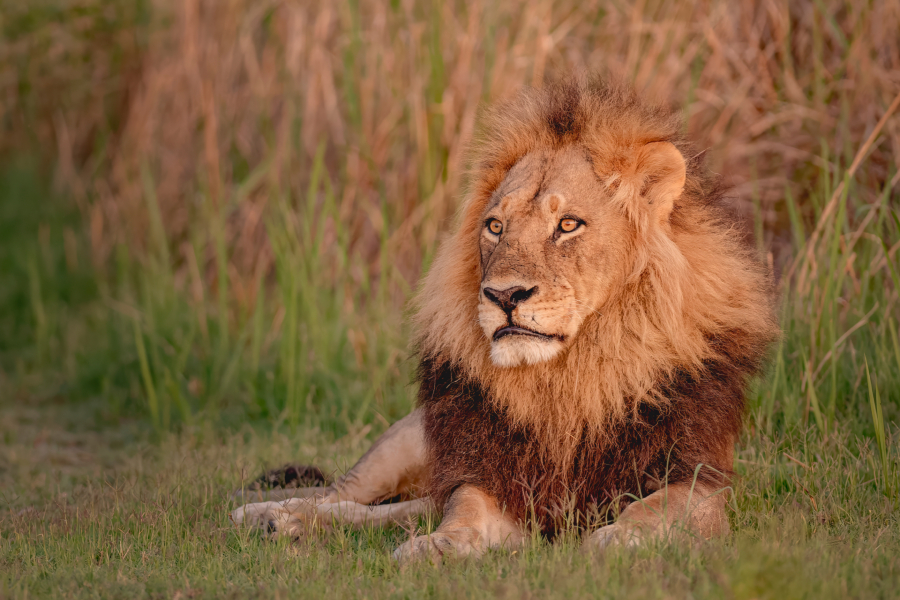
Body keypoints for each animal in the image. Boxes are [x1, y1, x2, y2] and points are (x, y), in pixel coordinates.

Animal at [231, 79, 778, 561]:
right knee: (344, 496)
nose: (504, 295)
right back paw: (270, 515)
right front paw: (440, 546)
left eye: (568, 225)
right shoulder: (494, 478)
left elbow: (657, 508)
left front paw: (621, 539)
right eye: (495, 226)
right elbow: (464, 510)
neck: (569, 379)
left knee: (398, 510)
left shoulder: (696, 477)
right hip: (404, 443)